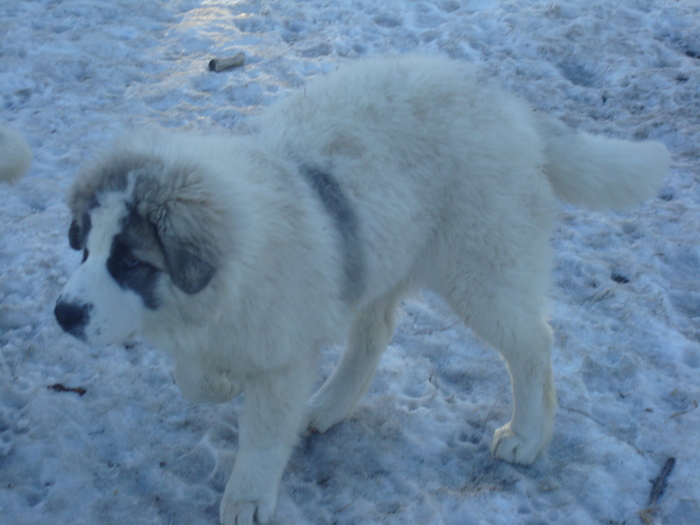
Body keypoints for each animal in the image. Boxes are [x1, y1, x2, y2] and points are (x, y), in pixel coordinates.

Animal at [53, 55, 668, 520]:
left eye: (130, 261)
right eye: (84, 248)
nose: (63, 314)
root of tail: (509, 106)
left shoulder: (284, 354)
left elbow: (261, 432)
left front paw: (247, 497)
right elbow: (193, 379)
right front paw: (220, 381)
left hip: (480, 264)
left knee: (533, 343)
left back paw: (527, 435)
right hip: (381, 253)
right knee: (376, 333)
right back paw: (328, 405)